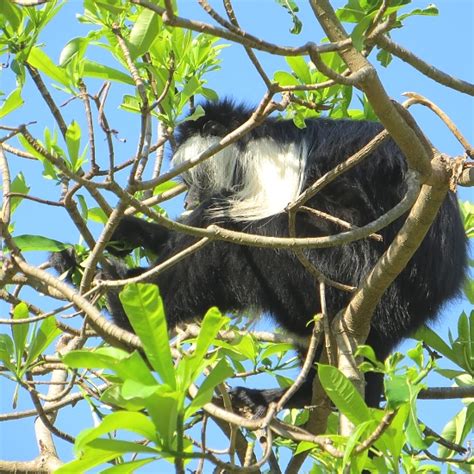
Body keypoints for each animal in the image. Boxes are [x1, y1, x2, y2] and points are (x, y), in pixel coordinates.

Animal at [61, 101, 468, 414]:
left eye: (194, 181)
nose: (187, 200)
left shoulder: (268, 163)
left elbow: (232, 223)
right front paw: (127, 233)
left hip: (335, 273)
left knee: (238, 242)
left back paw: (126, 307)